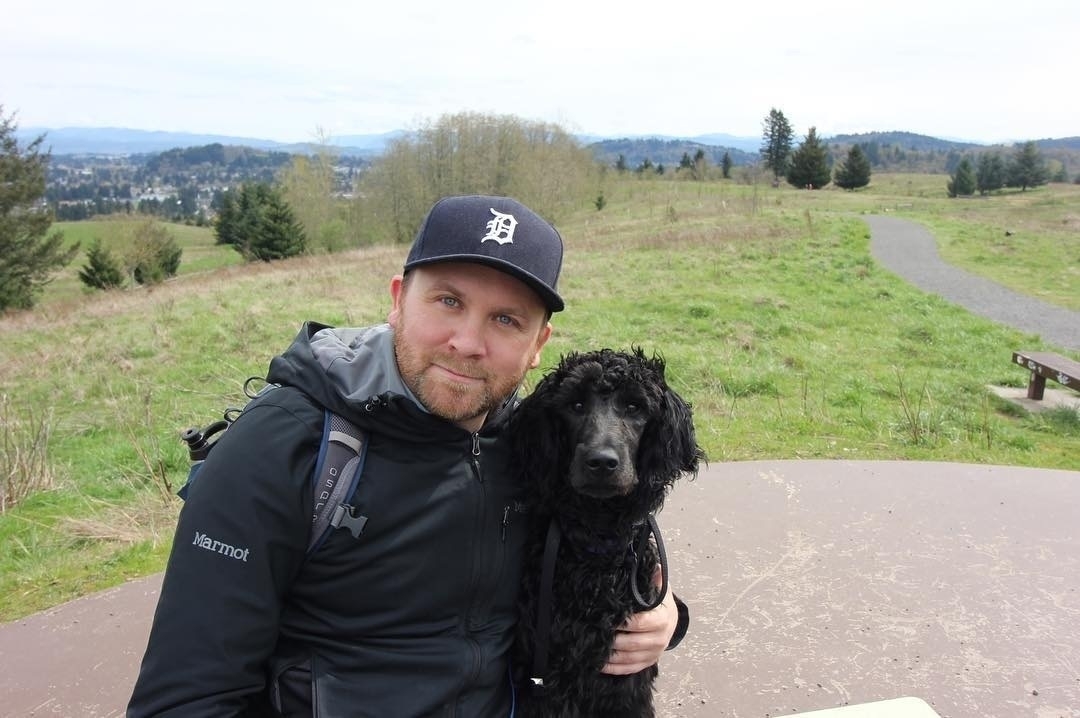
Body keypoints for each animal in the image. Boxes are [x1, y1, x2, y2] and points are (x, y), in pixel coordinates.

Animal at [510, 348, 704, 717]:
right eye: (575, 405)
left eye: (634, 407)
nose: (601, 462)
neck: (596, 546)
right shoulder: (552, 681)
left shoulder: (628, 682)